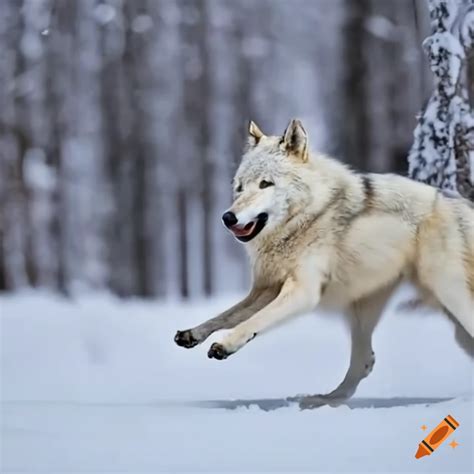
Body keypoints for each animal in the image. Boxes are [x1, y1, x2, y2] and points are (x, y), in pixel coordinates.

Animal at [174, 118, 474, 408]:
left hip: (449, 294)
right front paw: (193, 334)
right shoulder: (267, 289)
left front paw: (225, 345)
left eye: (265, 184)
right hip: (365, 310)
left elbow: (253, 321)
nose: (228, 217)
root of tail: (464, 204)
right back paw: (322, 400)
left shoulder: (302, 292)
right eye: (239, 188)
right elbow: (227, 315)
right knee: (364, 362)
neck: (305, 218)